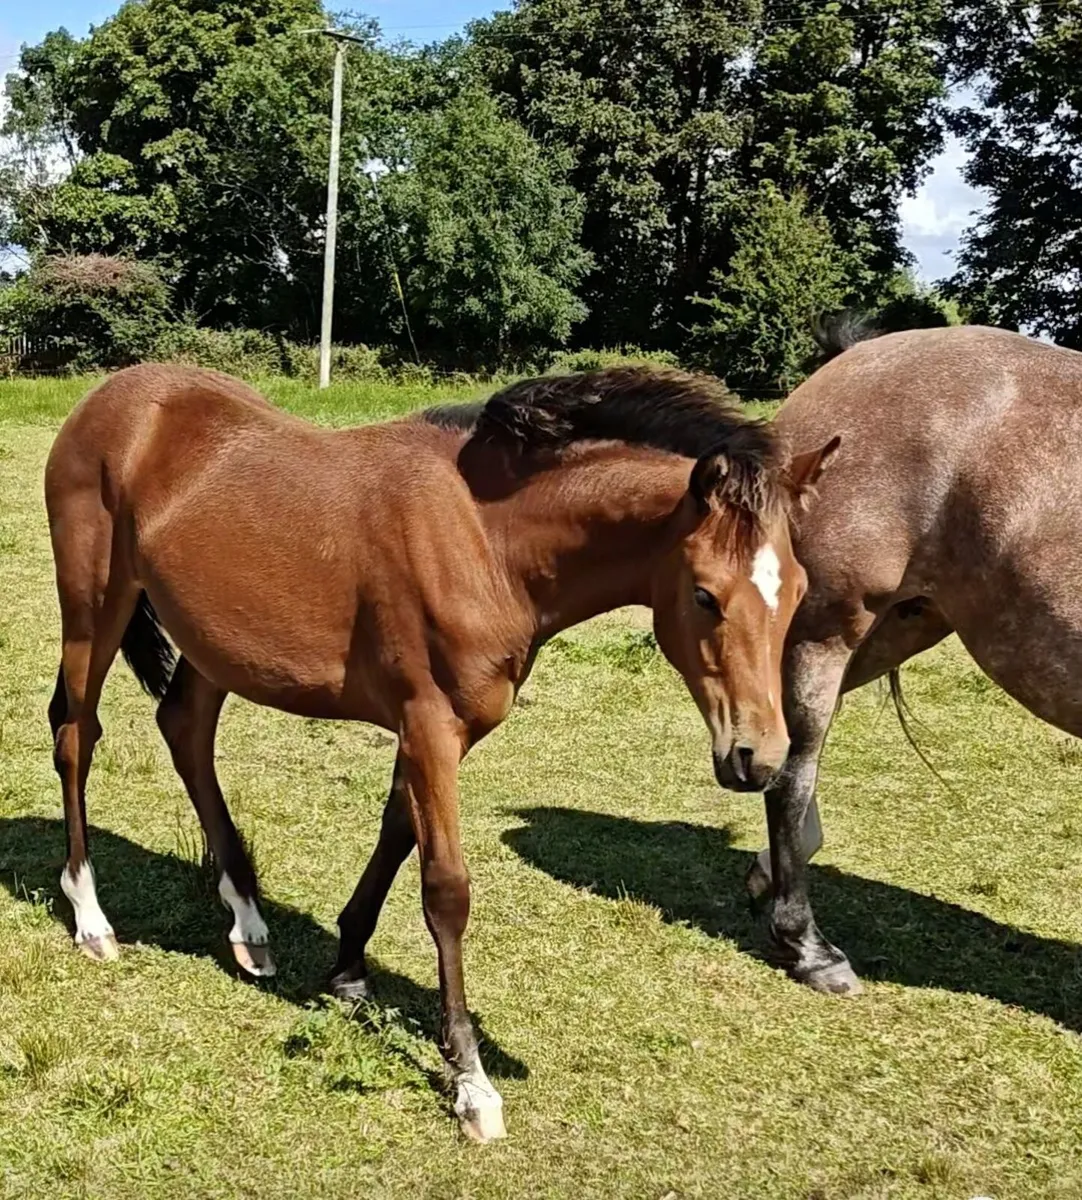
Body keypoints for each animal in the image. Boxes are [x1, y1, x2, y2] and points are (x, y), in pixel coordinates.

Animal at [44, 362, 837, 1141]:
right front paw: (471, 1081)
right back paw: (89, 914)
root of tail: (110, 397)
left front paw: (348, 971)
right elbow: (446, 890)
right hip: (94, 608)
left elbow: (397, 833)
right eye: (706, 595)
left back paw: (247, 918)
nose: (759, 756)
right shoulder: (430, 726)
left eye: (799, 590)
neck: (486, 538)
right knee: (76, 734)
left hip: (212, 645)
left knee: (185, 730)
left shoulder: (430, 730)